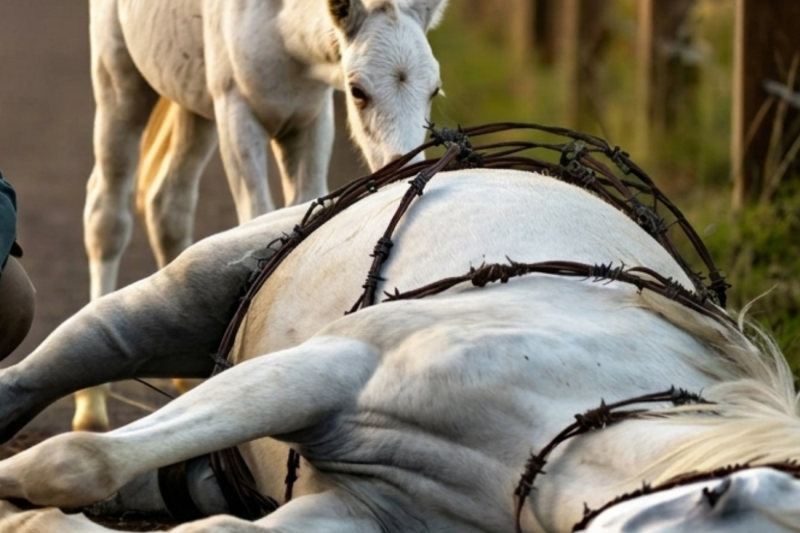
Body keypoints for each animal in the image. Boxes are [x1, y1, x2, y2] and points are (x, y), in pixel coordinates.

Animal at [1, 136, 799, 531]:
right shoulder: (326, 369)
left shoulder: (363, 510)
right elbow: (75, 460)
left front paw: (34, 524)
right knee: (52, 369)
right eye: (716, 499)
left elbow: (218, 530)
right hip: (172, 302)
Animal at [77, 0, 449, 433]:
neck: (280, 30)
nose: (407, 168)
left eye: (433, 90)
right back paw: (91, 406)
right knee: (107, 214)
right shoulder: (238, 116)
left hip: (193, 105)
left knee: (167, 204)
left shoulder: (309, 120)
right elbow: (257, 218)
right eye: (357, 91)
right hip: (122, 86)